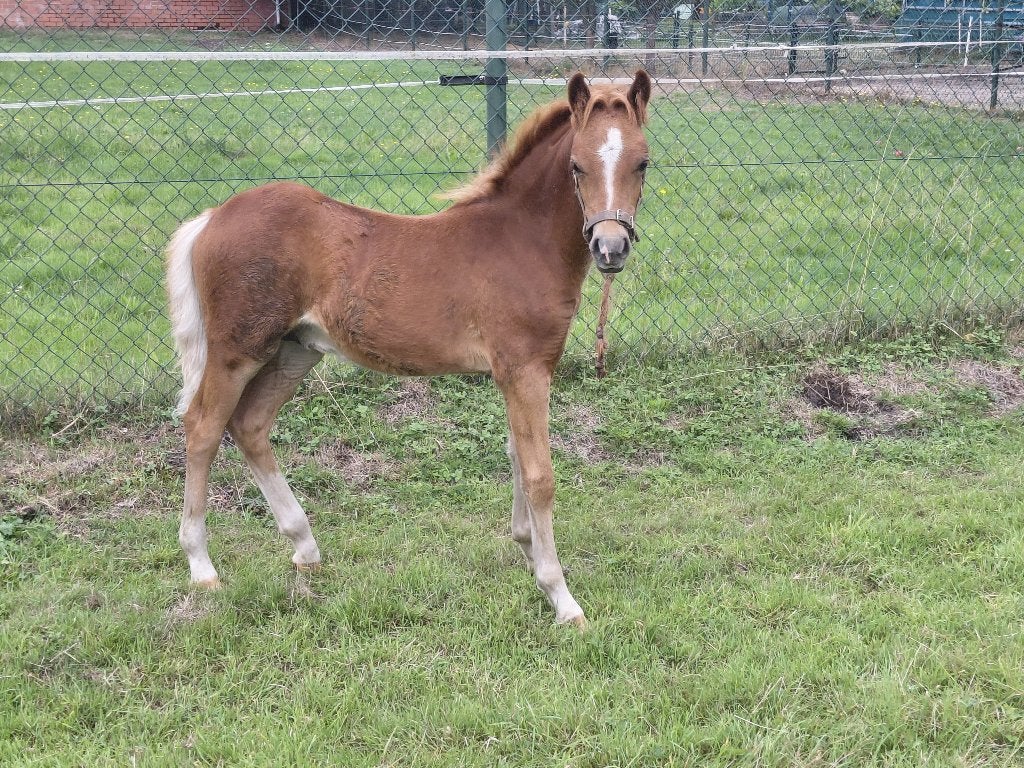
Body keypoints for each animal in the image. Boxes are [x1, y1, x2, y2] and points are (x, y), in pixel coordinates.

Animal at [166, 71, 651, 627]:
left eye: (642, 162)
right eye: (577, 164)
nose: (610, 248)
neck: (520, 241)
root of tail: (211, 217)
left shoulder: (516, 373)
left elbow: (515, 454)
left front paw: (526, 547)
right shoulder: (525, 369)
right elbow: (539, 475)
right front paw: (560, 596)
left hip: (295, 350)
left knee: (249, 424)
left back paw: (305, 546)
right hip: (237, 349)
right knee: (203, 427)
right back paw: (202, 566)